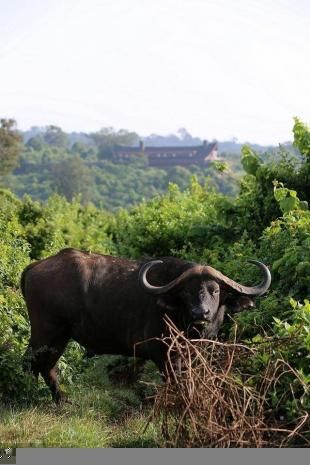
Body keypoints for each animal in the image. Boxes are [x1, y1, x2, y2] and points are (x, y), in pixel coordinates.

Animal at [20, 246, 270, 402]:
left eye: (215, 290)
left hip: (60, 335)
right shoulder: (163, 355)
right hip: (45, 331)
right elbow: (174, 383)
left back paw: (61, 398)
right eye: (187, 292)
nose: (201, 312)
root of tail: (34, 267)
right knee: (31, 362)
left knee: (47, 366)